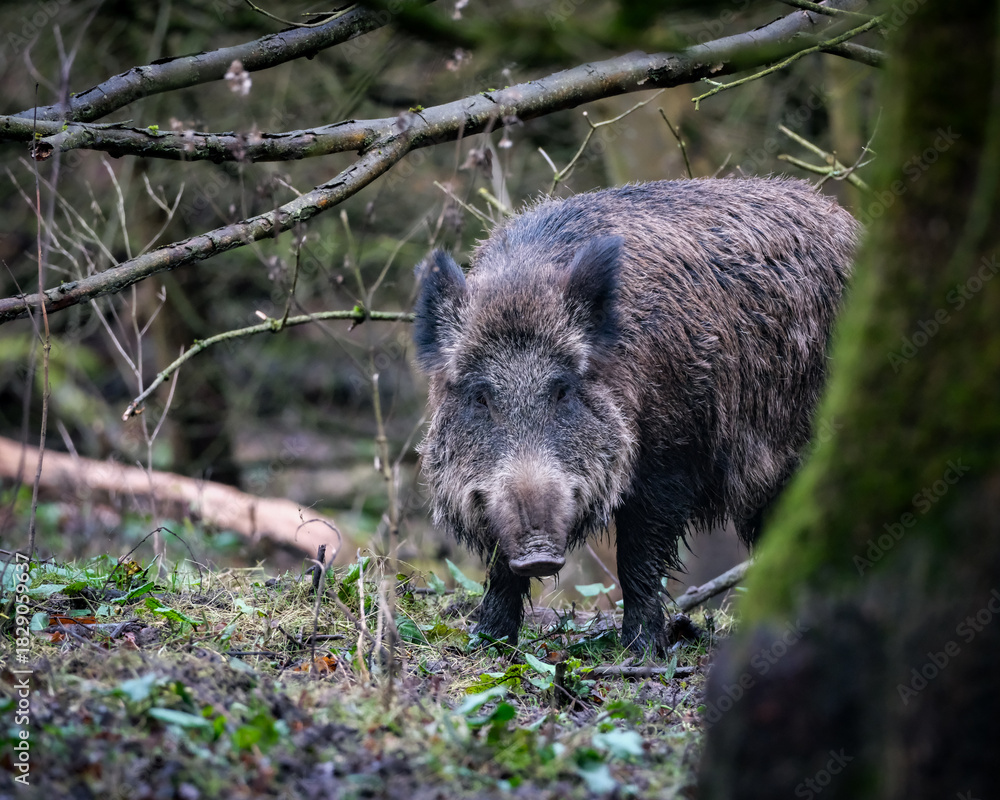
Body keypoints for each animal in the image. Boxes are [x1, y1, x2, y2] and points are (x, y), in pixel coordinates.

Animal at [413, 178, 857, 654]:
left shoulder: (671, 456)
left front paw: (641, 650)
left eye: (562, 390)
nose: (538, 555)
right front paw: (488, 644)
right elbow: (498, 566)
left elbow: (638, 559)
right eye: (481, 396)